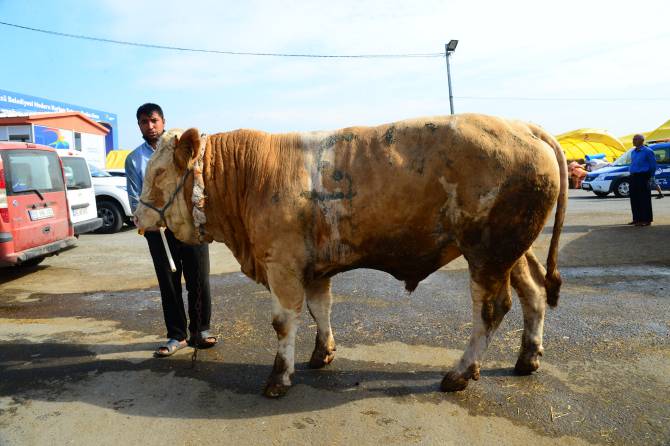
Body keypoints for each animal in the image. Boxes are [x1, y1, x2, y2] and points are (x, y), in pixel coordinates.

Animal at [135, 114, 568, 398]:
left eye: (158, 173)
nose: (138, 217)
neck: (251, 176)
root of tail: (528, 128)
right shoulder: (312, 268)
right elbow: (320, 308)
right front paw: (321, 354)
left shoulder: (281, 263)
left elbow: (283, 322)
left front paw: (279, 378)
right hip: (513, 250)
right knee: (533, 294)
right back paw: (528, 359)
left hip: (487, 251)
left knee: (491, 309)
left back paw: (459, 374)